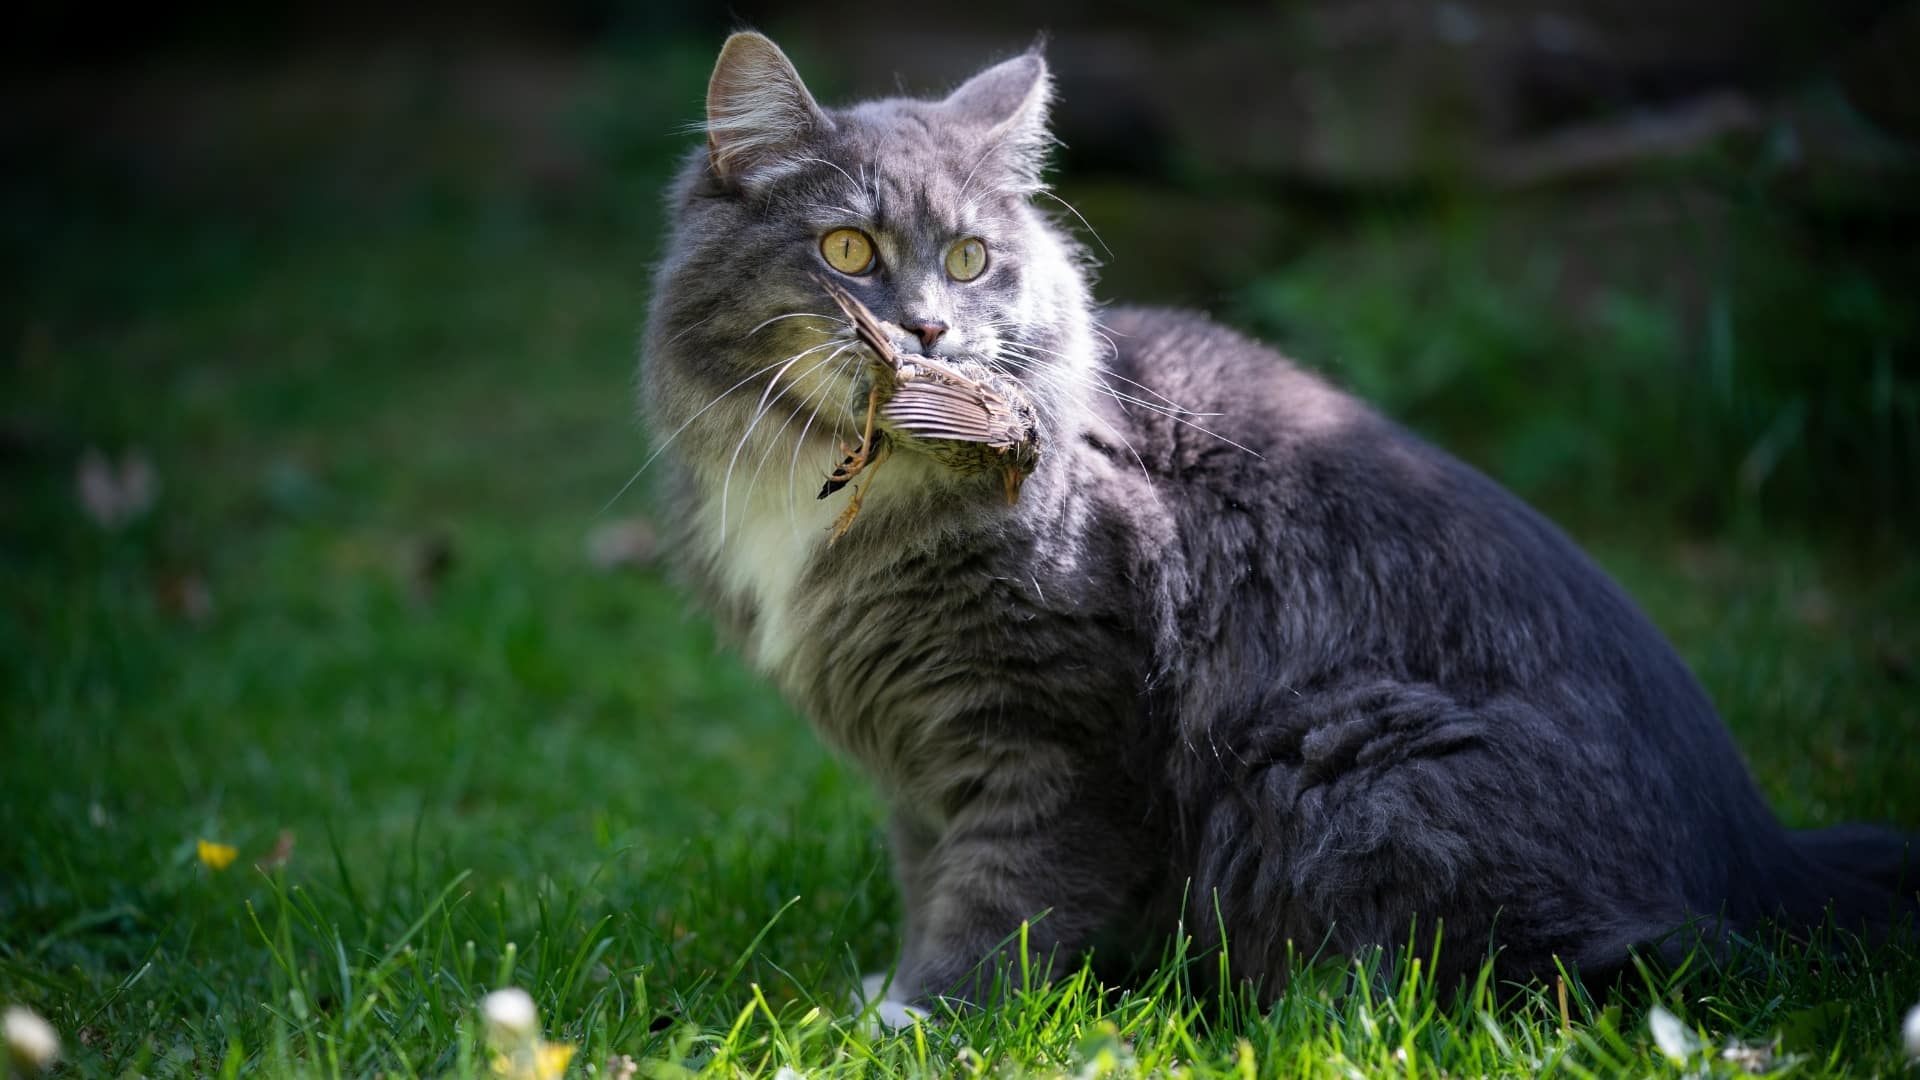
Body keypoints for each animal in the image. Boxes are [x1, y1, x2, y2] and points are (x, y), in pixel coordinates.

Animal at [637, 31, 1912, 1006]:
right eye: (849, 250)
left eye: (969, 257)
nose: (928, 332)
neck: (841, 486)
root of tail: (1765, 860)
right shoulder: (921, 757)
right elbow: (929, 875)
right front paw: (892, 992)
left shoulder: (1055, 727)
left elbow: (1005, 899)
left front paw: (923, 1020)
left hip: (1348, 757)